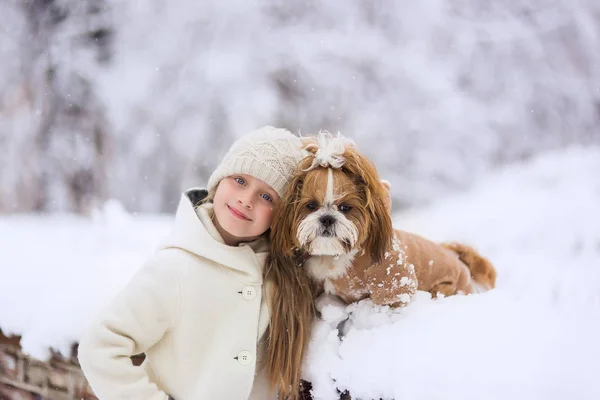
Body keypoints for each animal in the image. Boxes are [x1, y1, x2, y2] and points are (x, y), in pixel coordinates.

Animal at [272, 133, 496, 308]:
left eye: (345, 208)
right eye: (311, 206)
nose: (327, 219)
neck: (335, 256)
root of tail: (457, 256)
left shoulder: (393, 280)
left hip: (446, 287)